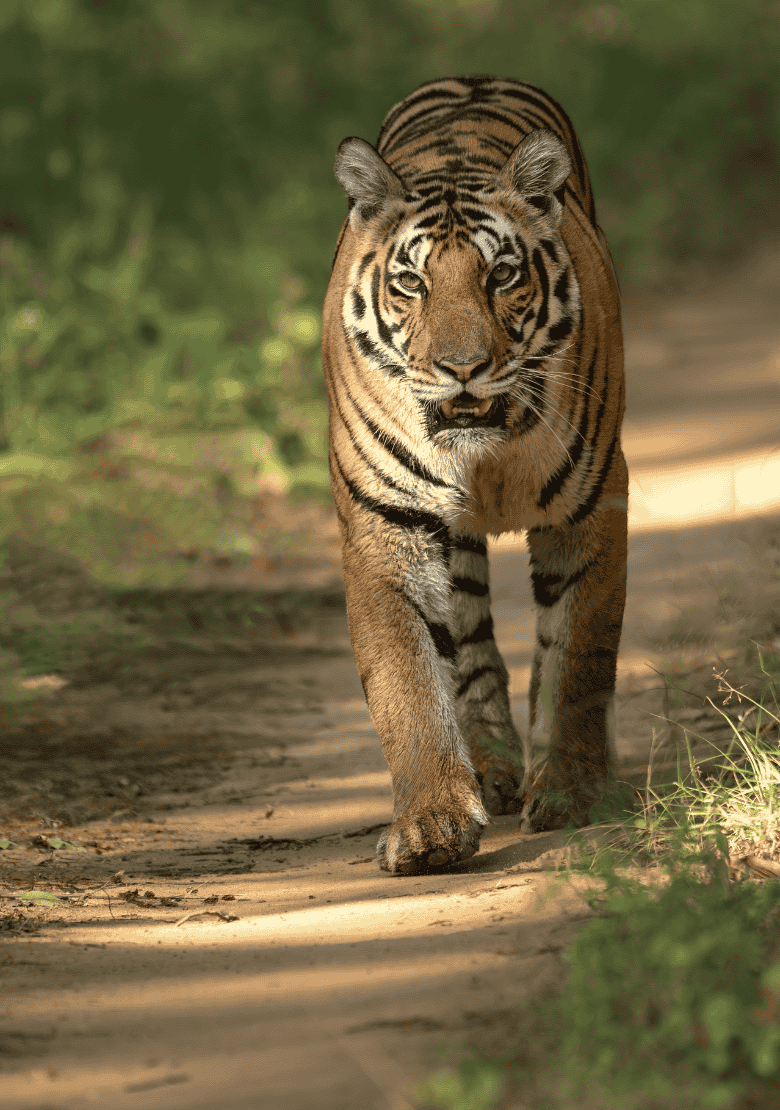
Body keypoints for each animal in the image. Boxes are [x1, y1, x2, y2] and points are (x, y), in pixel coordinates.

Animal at [322, 76, 627, 875]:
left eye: (502, 275)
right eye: (411, 282)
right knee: (470, 651)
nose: (462, 368)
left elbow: (580, 658)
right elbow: (408, 680)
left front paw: (573, 794)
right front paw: (431, 824)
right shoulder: (388, 527)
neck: (481, 450)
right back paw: (491, 769)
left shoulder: (591, 508)